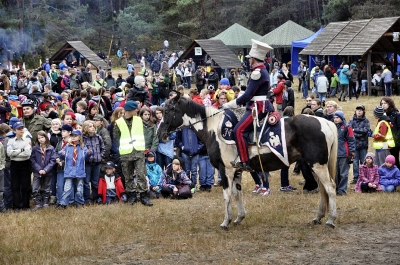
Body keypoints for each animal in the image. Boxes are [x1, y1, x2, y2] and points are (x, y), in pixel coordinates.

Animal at [156, 93, 338, 229]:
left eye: (169, 110)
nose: (159, 133)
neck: (214, 129)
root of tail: (325, 122)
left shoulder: (225, 170)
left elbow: (227, 195)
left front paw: (226, 222)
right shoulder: (236, 170)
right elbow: (237, 194)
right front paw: (239, 218)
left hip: (318, 165)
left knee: (330, 187)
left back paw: (331, 220)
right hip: (314, 165)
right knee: (323, 189)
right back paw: (318, 217)